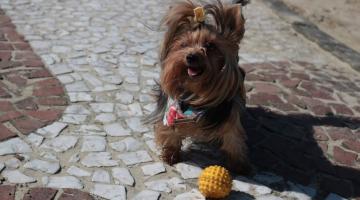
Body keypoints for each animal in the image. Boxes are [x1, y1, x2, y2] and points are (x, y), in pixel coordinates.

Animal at [149, 0, 250, 174]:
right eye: (183, 44)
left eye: (210, 45)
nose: (191, 56)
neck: (196, 90)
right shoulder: (170, 113)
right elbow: (169, 131)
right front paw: (170, 154)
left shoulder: (229, 116)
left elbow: (233, 138)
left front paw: (239, 165)